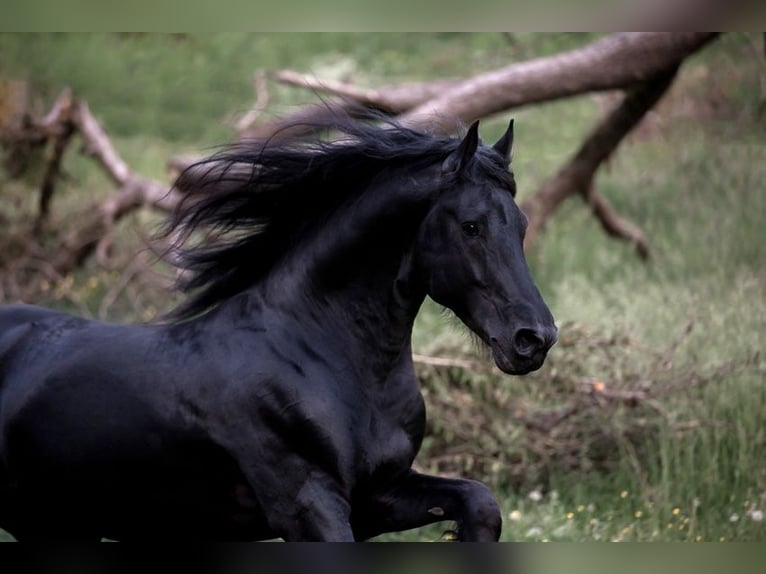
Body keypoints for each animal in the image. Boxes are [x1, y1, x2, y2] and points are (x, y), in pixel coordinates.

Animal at [0, 118, 556, 544]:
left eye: (522, 225)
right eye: (470, 226)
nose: (535, 338)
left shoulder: (378, 495)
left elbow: (479, 503)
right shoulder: (307, 504)